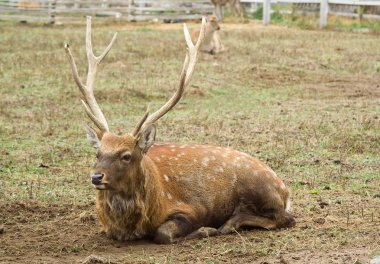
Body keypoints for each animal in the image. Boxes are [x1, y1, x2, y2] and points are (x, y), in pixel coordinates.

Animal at [63, 16, 296, 243]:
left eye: (126, 155)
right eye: (98, 153)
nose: (96, 177)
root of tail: (284, 190)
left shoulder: (191, 209)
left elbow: (163, 233)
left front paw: (205, 230)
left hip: (258, 188)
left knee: (285, 218)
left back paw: (229, 223)